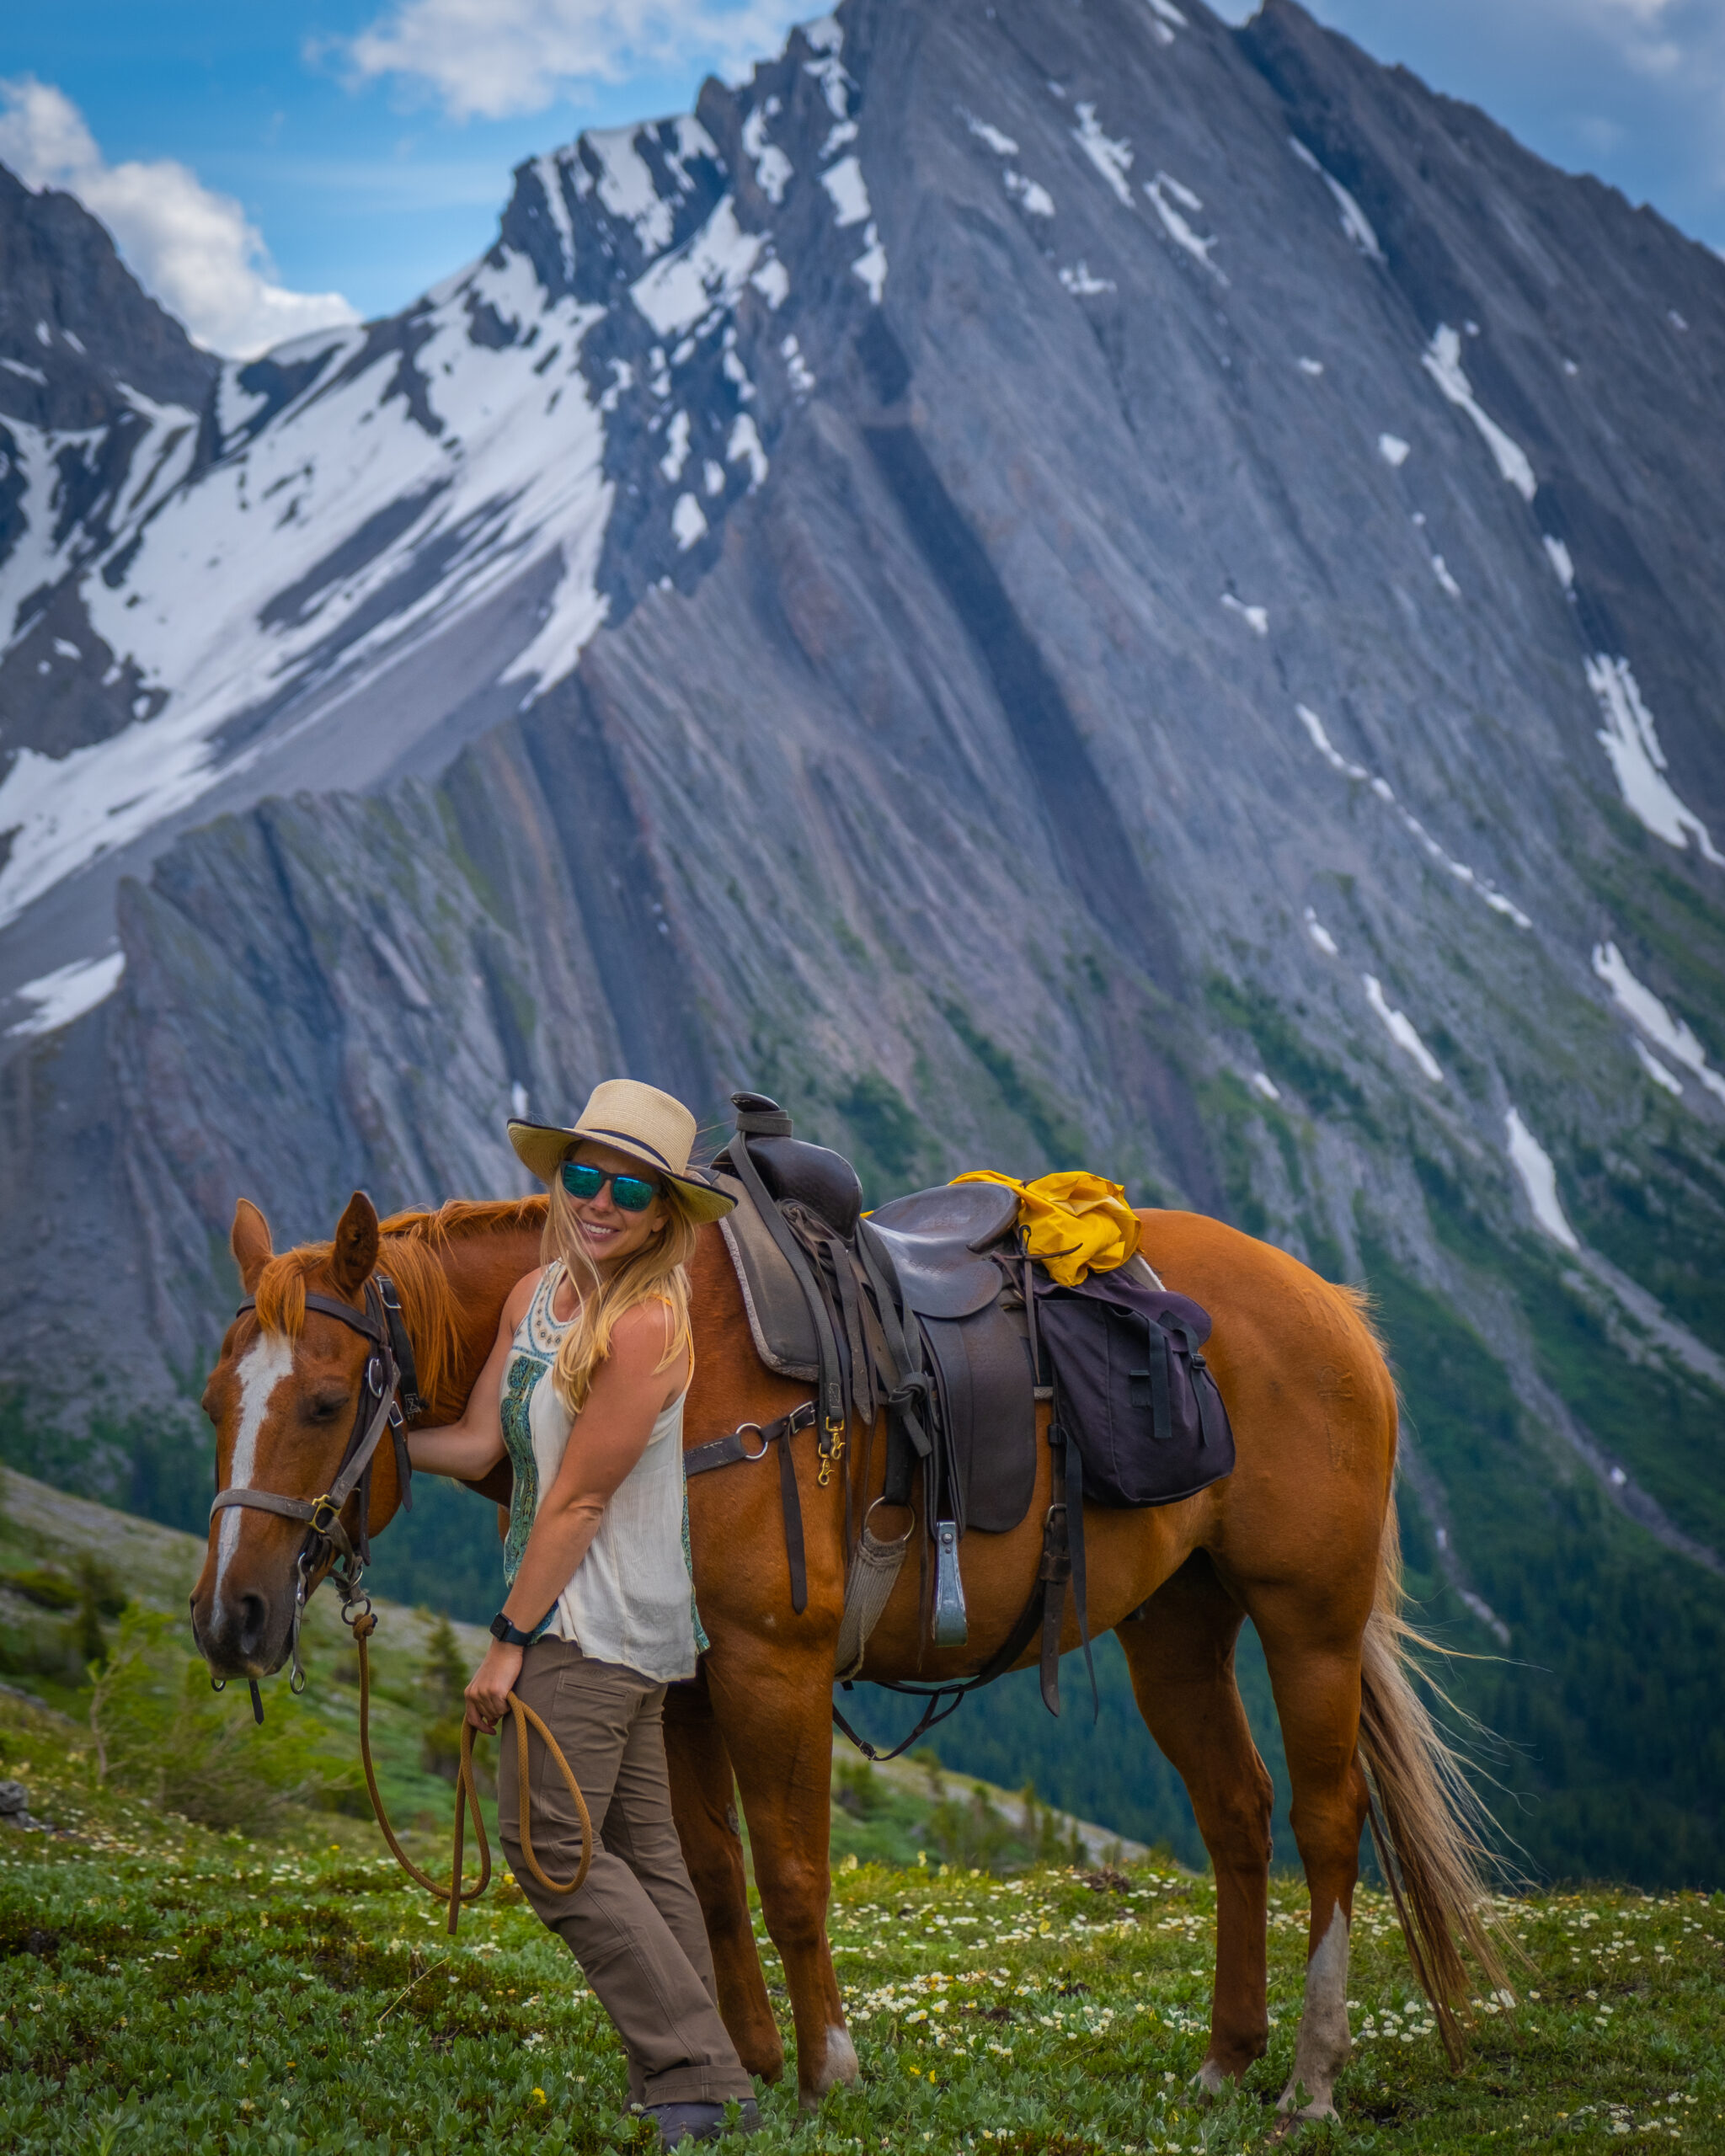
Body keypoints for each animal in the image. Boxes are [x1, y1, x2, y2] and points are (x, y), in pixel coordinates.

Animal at [195, 1190, 1500, 2112]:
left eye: (323, 1404)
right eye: (216, 1403)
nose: (230, 1618)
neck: (673, 1357)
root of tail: (1328, 1304)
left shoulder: (774, 1667)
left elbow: (792, 1876)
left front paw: (829, 2069)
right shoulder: (682, 1679)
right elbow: (712, 1879)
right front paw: (746, 2065)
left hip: (1308, 1621)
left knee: (1330, 1825)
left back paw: (1311, 2080)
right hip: (1174, 1629)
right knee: (1237, 1813)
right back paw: (1229, 2059)